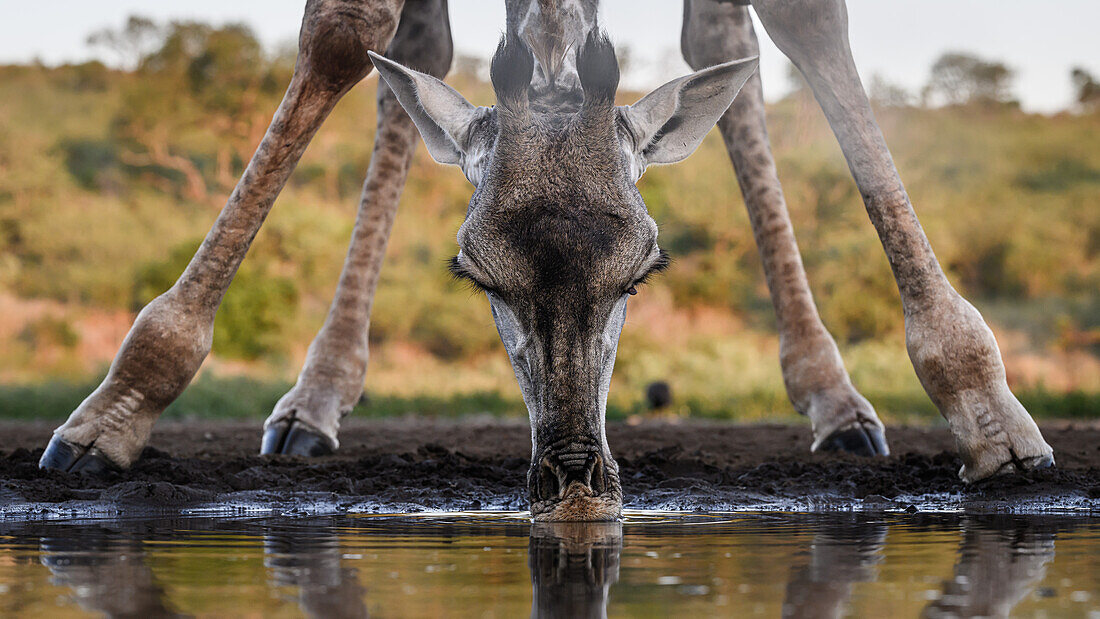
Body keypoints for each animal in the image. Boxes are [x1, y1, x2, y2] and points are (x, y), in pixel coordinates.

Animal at [40, 0, 1056, 523]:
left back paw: (835, 397)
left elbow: (798, 15)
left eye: (644, 272)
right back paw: (316, 394)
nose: (575, 485)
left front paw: (986, 408)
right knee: (417, 46)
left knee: (722, 37)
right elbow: (346, 31)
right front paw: (118, 403)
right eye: (477, 276)